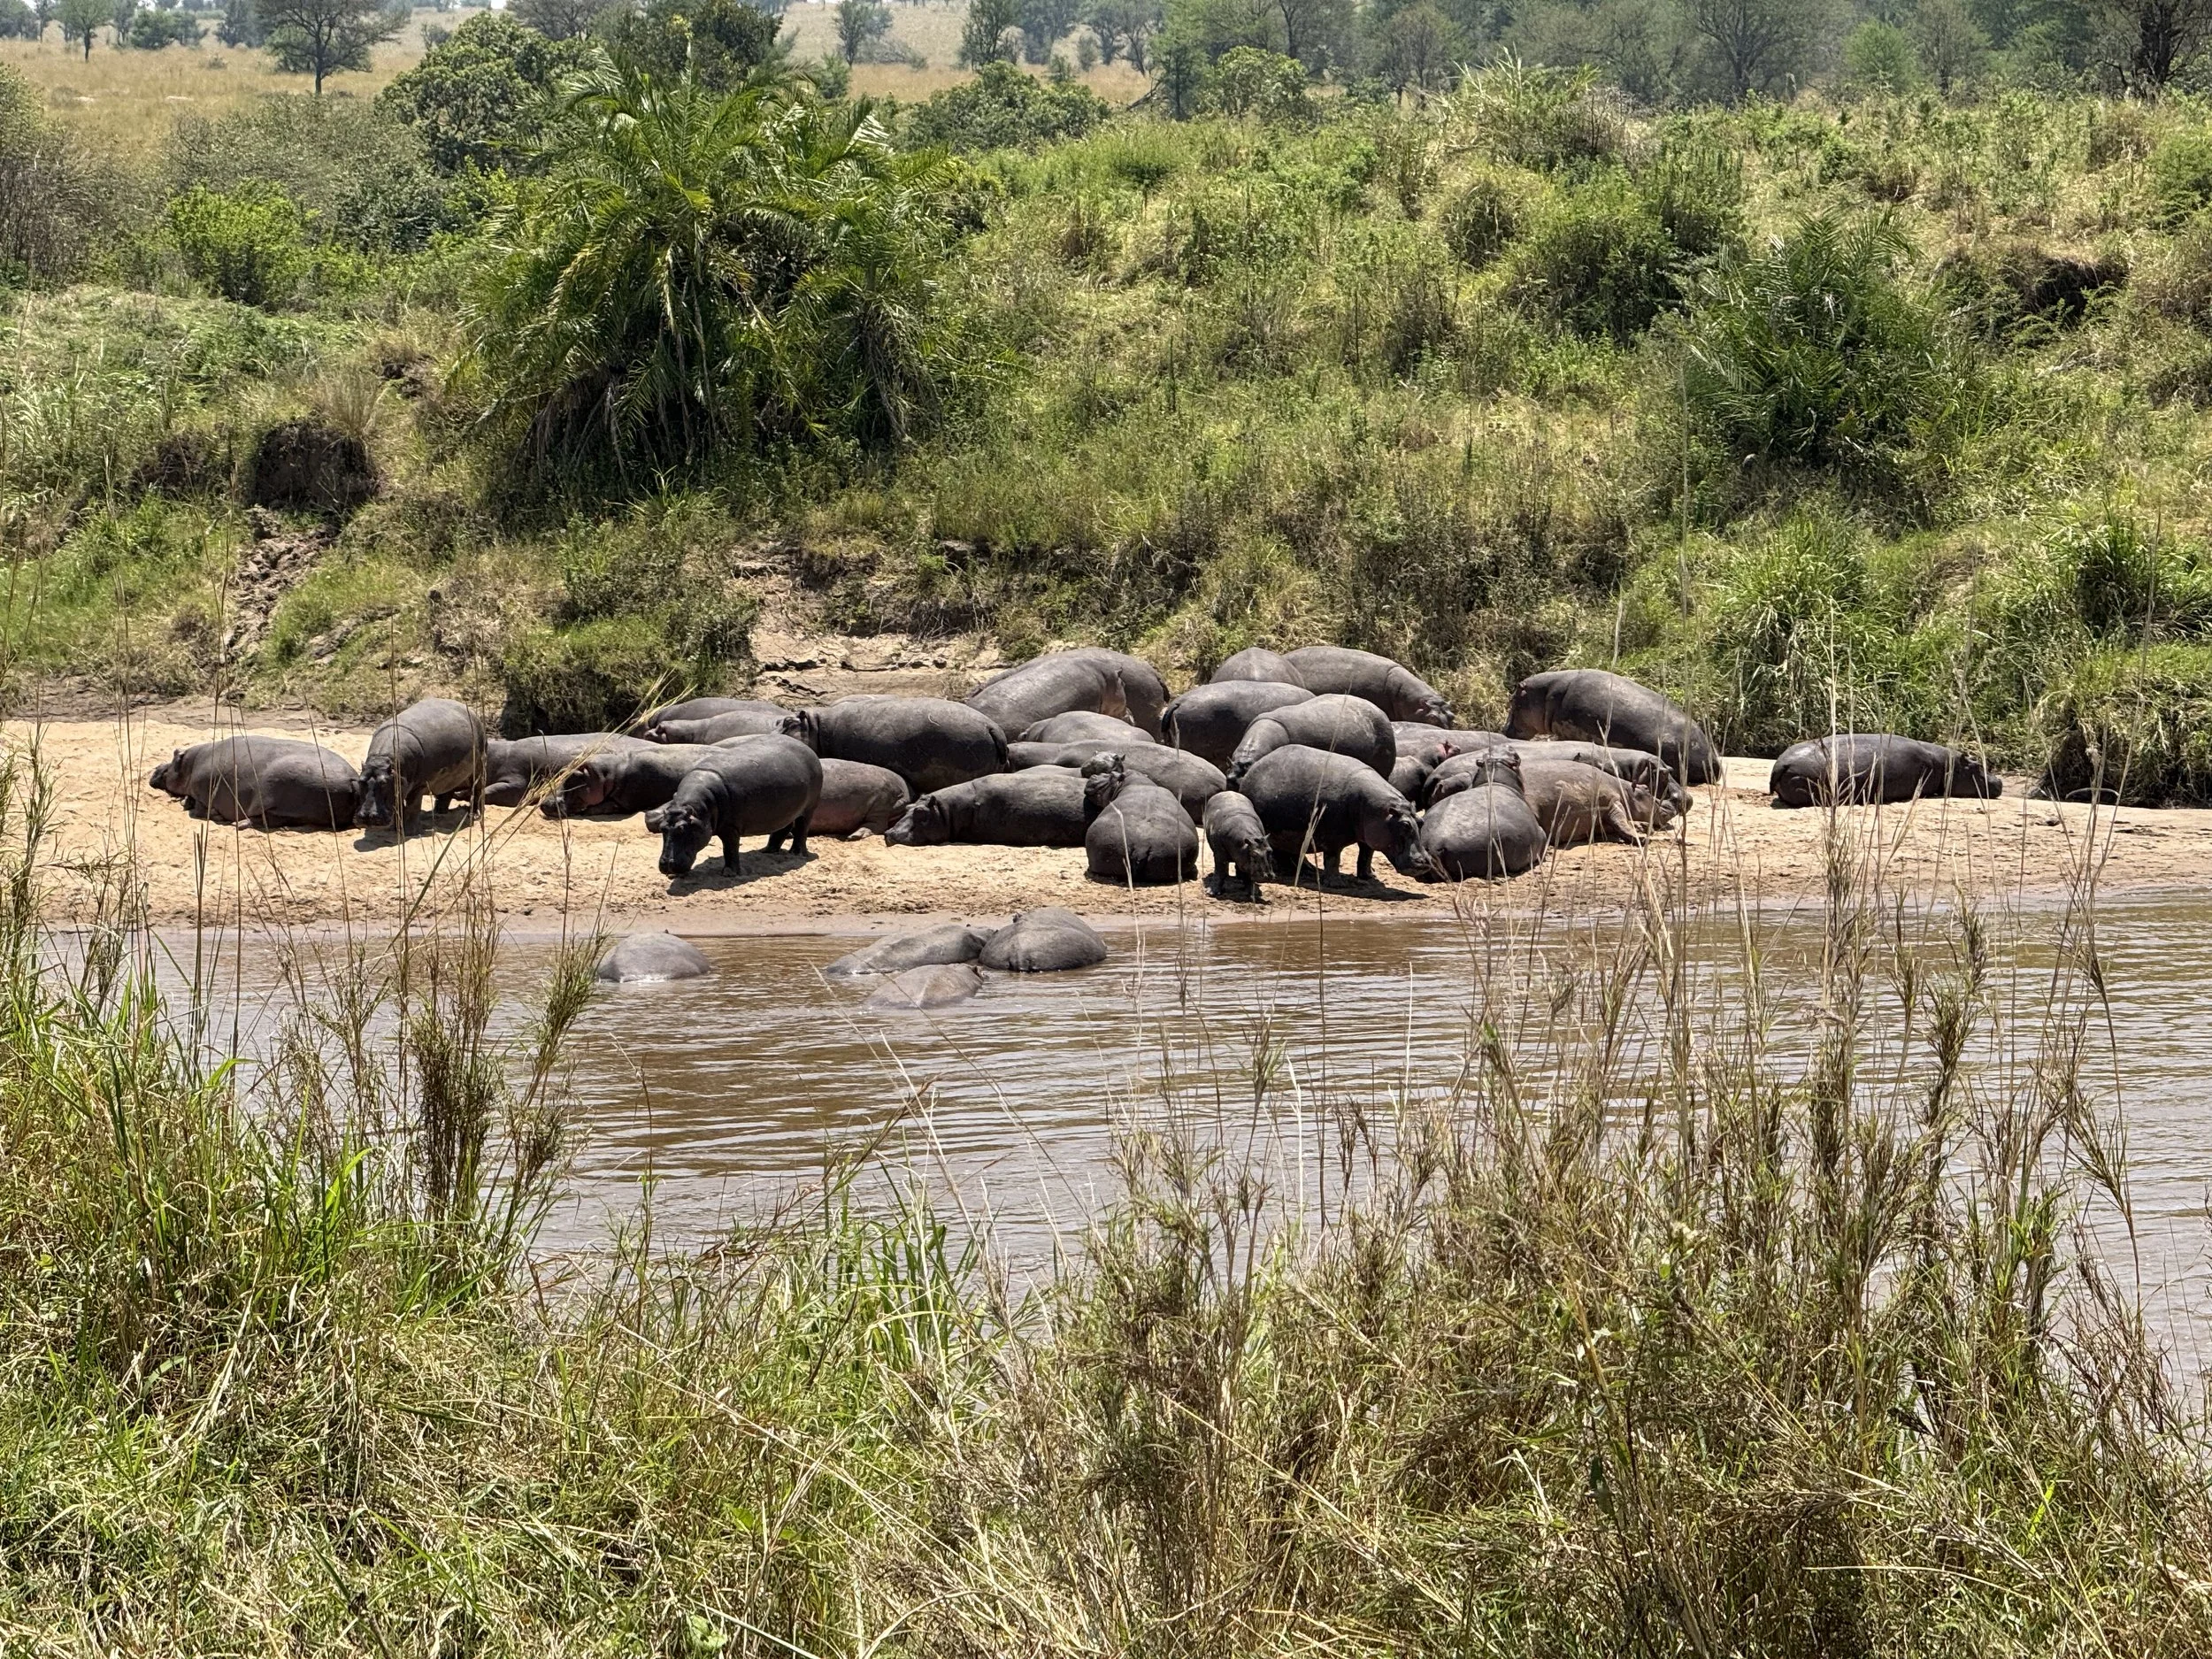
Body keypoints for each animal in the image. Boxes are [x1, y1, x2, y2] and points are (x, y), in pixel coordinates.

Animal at [148, 735, 360, 830]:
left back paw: (238, 824)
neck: (190, 765)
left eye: (175, 754)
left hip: (274, 796)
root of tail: (353, 779)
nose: (157, 767)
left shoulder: (202, 792)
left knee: (268, 819)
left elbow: (197, 809)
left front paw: (210, 813)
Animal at [355, 698, 486, 833]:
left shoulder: (419, 785)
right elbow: (399, 807)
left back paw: (473, 815)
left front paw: (410, 832)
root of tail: (468, 709)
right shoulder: (400, 786)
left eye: (384, 783)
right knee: (447, 789)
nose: (368, 816)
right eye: (360, 781)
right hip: (451, 774)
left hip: (479, 765)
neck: (381, 760)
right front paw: (397, 829)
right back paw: (439, 813)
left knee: (477, 789)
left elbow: (413, 806)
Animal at [642, 736, 823, 877]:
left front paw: (729, 873)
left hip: (809, 808)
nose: (667, 865)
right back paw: (767, 851)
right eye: (663, 828)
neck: (700, 808)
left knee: (801, 829)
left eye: (682, 829)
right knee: (782, 828)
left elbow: (730, 848)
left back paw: (797, 854)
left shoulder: (730, 827)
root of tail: (808, 749)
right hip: (784, 811)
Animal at [1236, 744, 1430, 884]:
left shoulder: (1371, 835)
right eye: (1405, 825)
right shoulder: (1332, 838)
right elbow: (1333, 859)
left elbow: (1366, 855)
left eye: (1421, 821)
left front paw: (1369, 877)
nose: (1425, 862)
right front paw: (1337, 884)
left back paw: (1304, 871)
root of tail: (1252, 770)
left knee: (1290, 851)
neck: (1383, 813)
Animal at [1516, 758, 1678, 844]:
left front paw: (1642, 827)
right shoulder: (1614, 802)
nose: (1671, 804)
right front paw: (1642, 838)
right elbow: (1621, 820)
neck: (1626, 791)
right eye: (1647, 789)